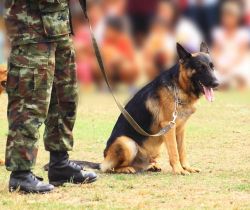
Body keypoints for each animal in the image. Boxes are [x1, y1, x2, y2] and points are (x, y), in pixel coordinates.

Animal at [99, 42, 219, 174]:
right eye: (200, 67)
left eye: (212, 67)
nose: (217, 83)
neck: (179, 87)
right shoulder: (169, 126)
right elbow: (174, 151)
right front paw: (179, 169)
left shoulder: (181, 129)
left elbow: (182, 150)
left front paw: (187, 167)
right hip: (127, 143)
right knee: (110, 167)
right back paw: (126, 168)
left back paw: (151, 166)